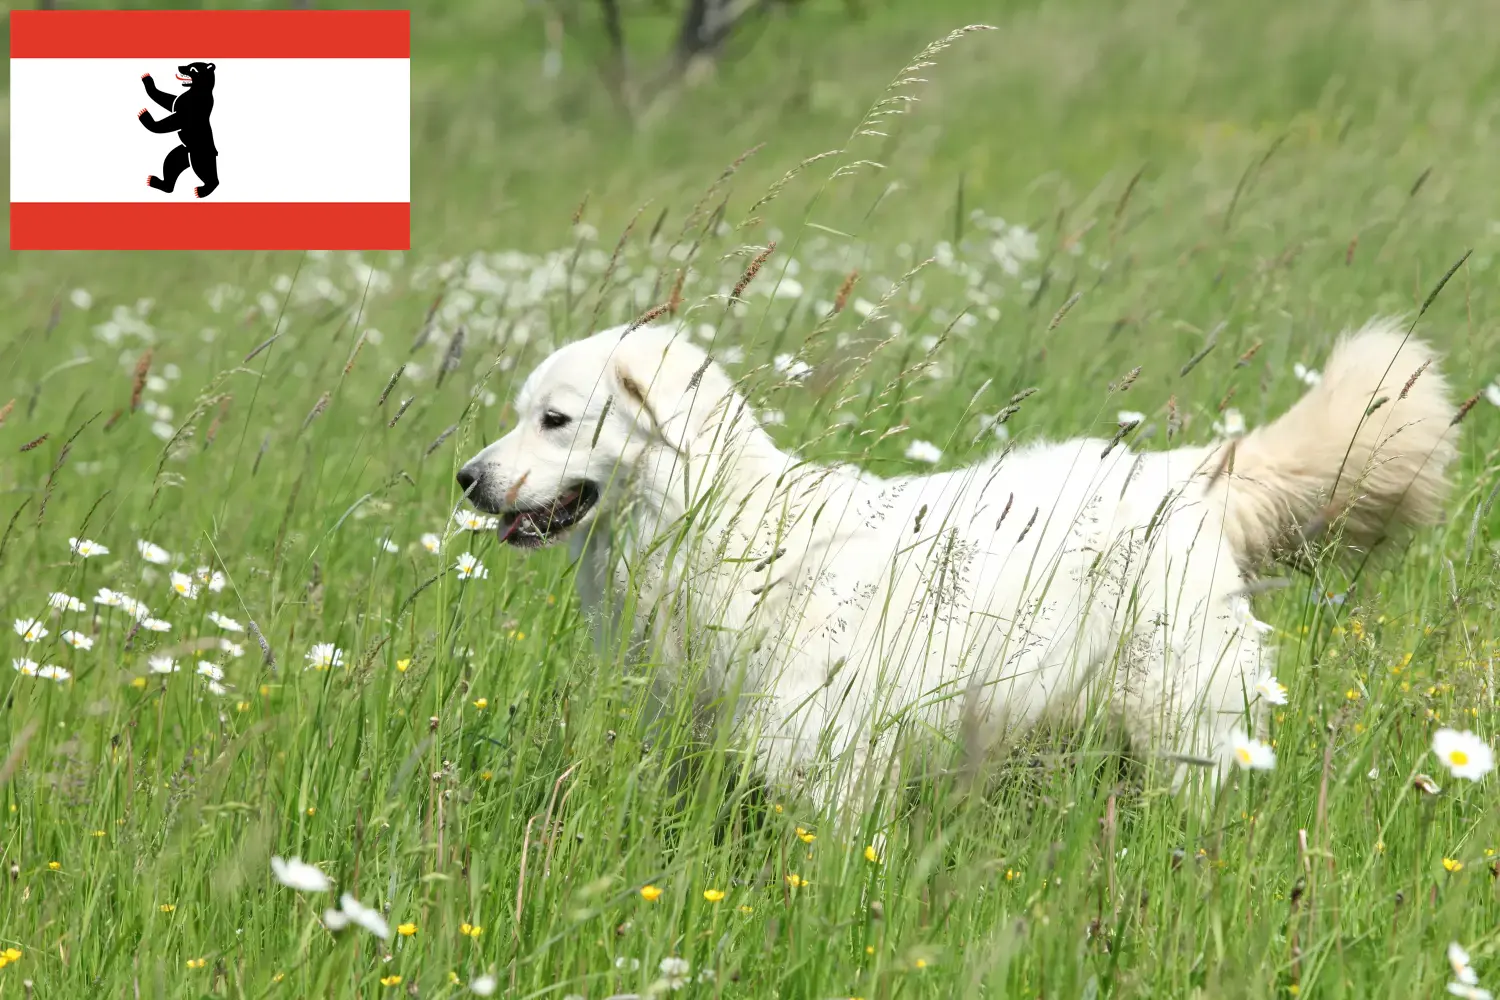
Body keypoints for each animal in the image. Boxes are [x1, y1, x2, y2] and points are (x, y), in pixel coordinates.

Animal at [462, 320, 1458, 815]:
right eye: (519, 414)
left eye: (554, 420)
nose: (467, 478)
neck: (728, 523)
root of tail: (1185, 472)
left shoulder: (825, 755)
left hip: (1179, 716)